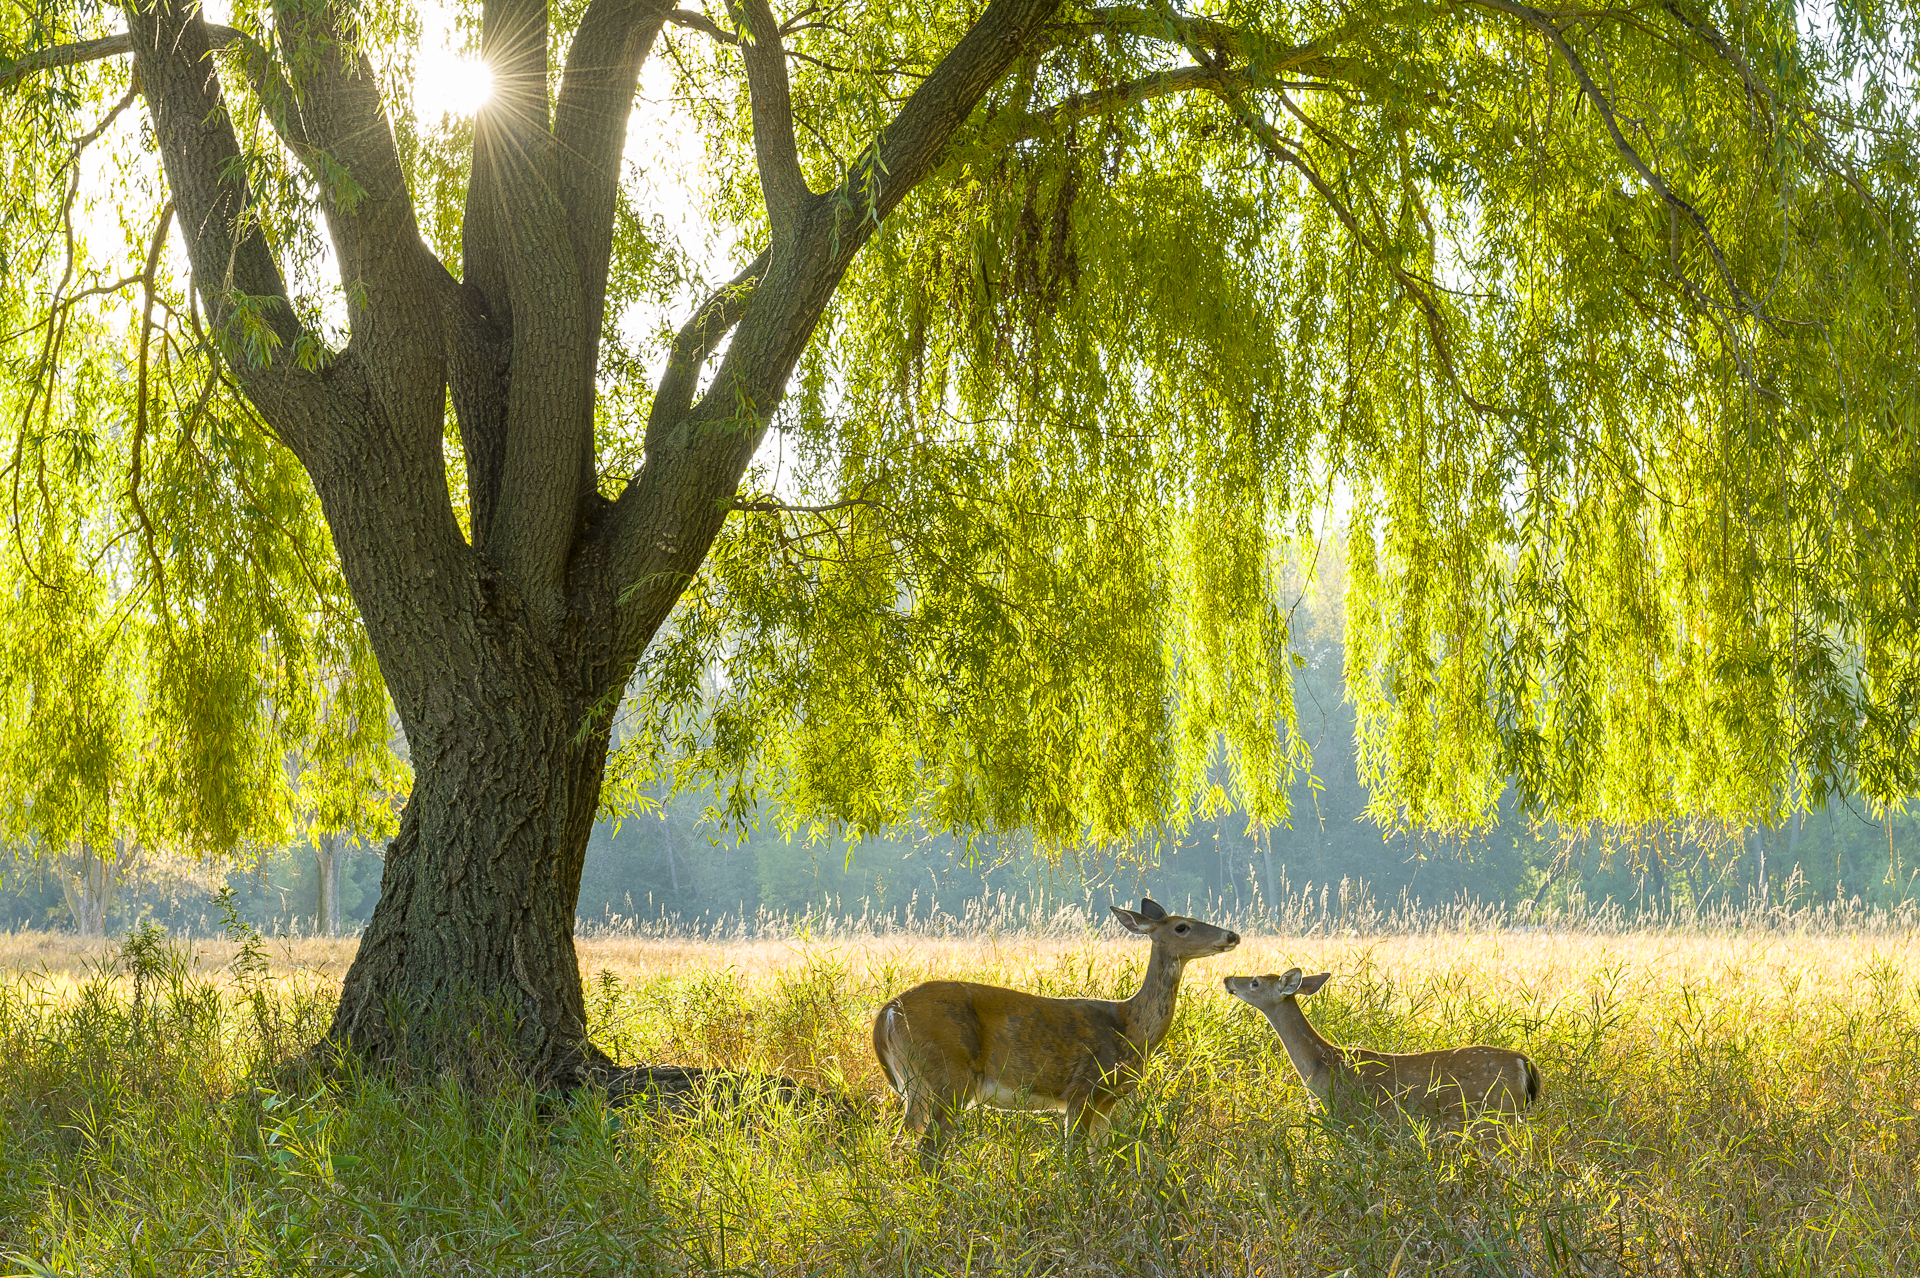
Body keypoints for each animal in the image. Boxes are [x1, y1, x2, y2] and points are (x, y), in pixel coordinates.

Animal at [875, 894, 1244, 1166]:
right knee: (926, 1150)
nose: (1232, 935)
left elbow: (1100, 1160)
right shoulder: (1083, 1087)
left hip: (916, 1083)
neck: (1130, 1028)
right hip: (949, 1073)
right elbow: (1076, 1158)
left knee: (900, 1141)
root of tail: (887, 1012)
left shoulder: (1106, 1101)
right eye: (1182, 927)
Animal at [1228, 967, 1543, 1128]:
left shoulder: (1345, 1119)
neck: (1318, 1067)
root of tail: (1524, 1062)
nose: (1228, 979)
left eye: (1255, 982)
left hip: (1494, 1117)